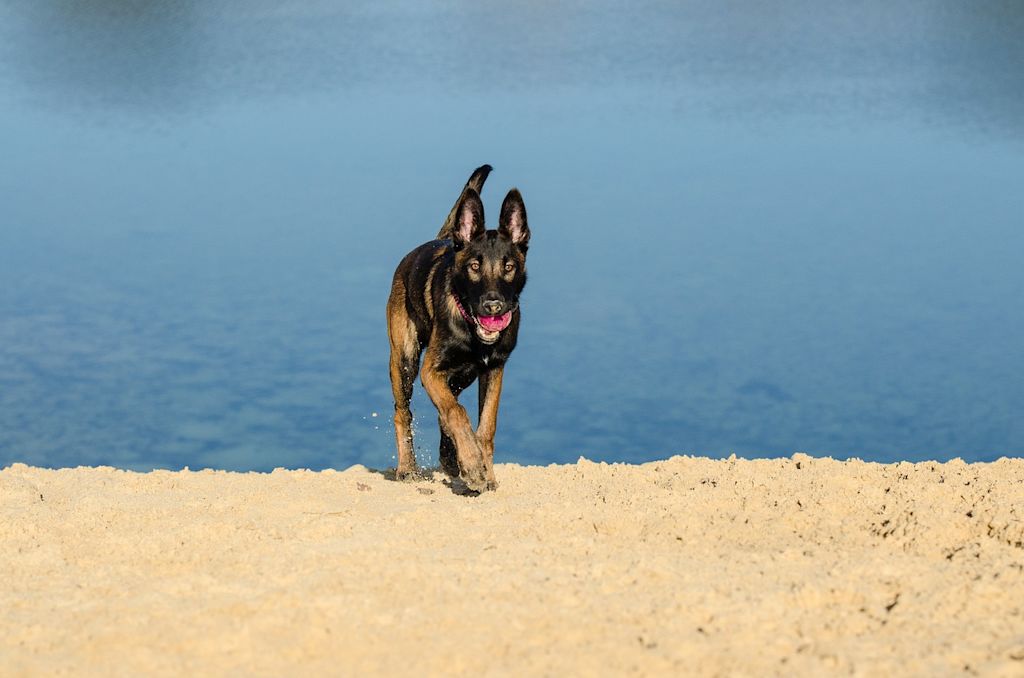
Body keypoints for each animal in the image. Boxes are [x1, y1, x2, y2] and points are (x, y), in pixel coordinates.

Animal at [385, 165, 528, 493]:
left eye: (509, 267)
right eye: (475, 266)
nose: (493, 306)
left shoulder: (494, 370)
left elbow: (486, 425)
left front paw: (483, 470)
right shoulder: (431, 371)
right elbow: (456, 412)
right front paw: (473, 466)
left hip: (462, 375)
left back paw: (452, 459)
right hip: (406, 362)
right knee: (403, 413)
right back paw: (408, 468)